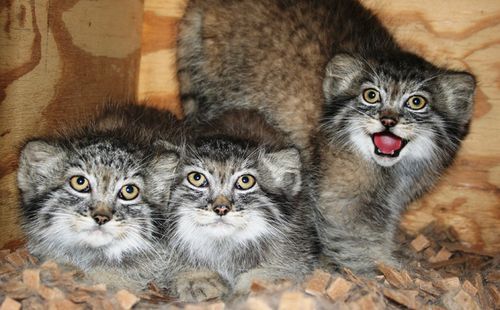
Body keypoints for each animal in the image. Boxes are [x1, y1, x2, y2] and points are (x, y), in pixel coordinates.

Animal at [166, 110, 318, 302]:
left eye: (245, 181)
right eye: (197, 178)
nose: (221, 209)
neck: (223, 245)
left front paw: (255, 286)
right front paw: (198, 277)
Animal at [177, 0, 476, 274]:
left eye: (416, 102)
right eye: (371, 95)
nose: (388, 121)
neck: (391, 172)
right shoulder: (342, 199)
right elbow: (355, 238)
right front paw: (383, 270)